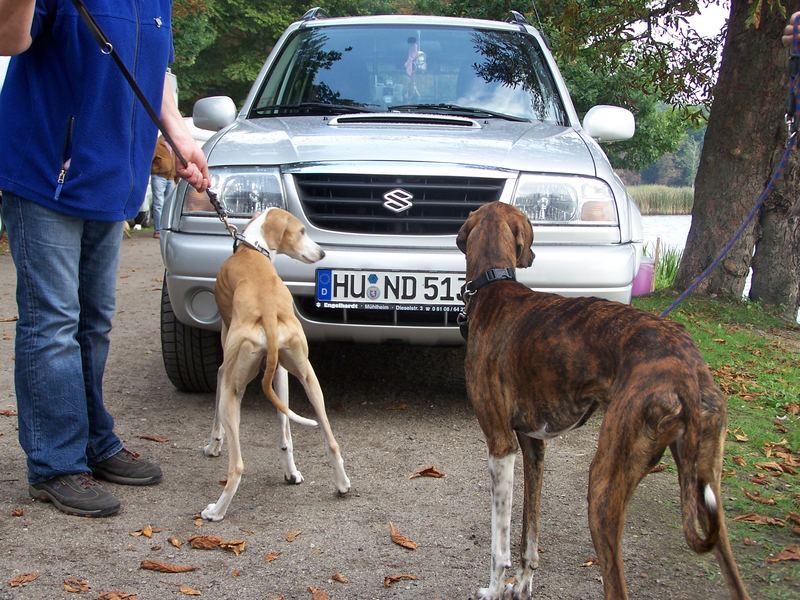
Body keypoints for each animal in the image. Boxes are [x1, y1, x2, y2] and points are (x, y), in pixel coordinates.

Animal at [202, 207, 348, 520]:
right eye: (301, 231)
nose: (322, 253)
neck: (251, 250)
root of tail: (267, 312)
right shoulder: (279, 371)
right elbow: (285, 434)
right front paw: (291, 473)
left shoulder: (222, 371)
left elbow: (215, 417)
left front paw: (212, 445)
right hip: (308, 378)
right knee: (330, 441)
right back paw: (341, 484)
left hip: (232, 390)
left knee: (237, 466)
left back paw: (216, 511)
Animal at [456, 203, 752, 600]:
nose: (533, 255)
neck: (494, 286)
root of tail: (686, 371)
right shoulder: (533, 445)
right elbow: (529, 532)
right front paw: (523, 583)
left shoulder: (501, 445)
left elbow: (499, 543)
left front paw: (494, 589)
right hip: (707, 490)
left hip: (603, 485)